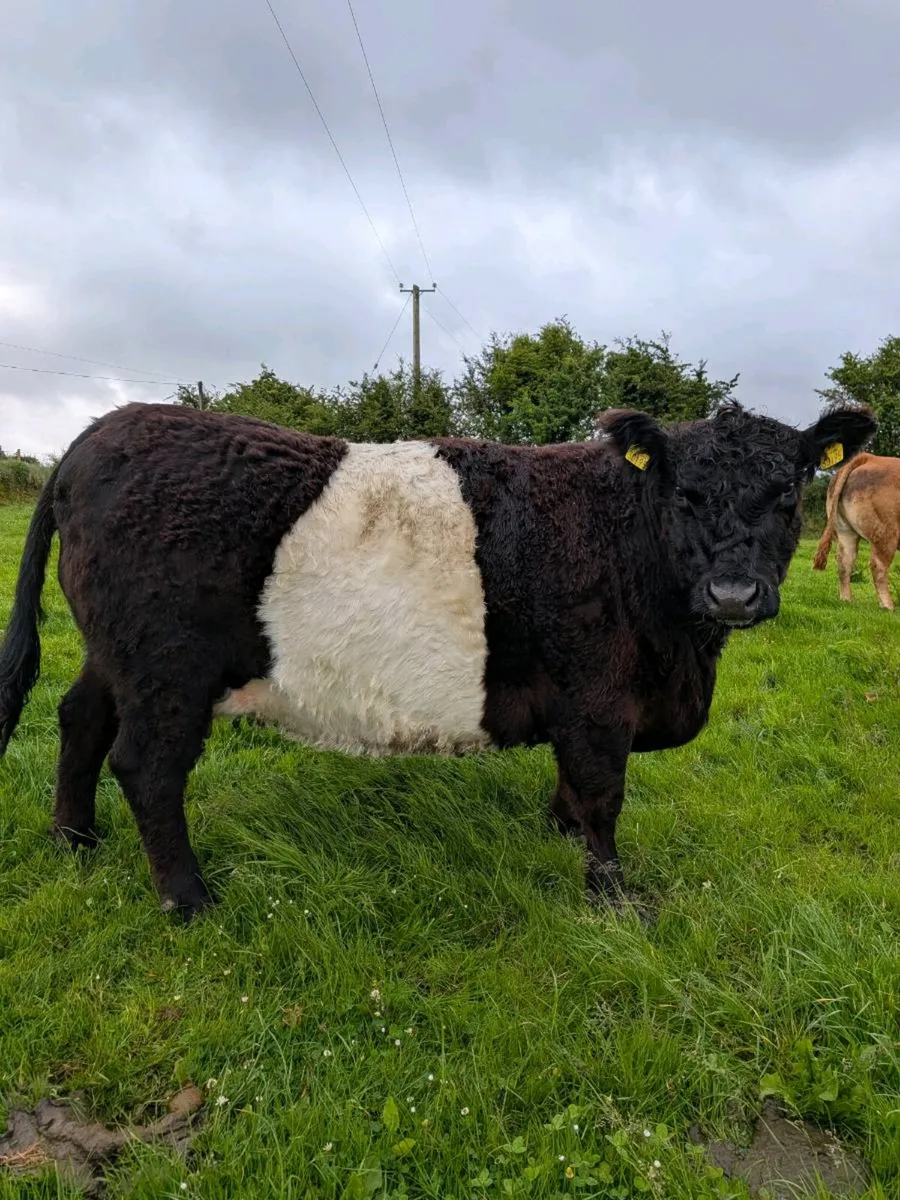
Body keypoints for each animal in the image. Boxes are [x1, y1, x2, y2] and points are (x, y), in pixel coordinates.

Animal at [0, 400, 876, 920]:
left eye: (788, 494)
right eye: (684, 495)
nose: (733, 592)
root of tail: (100, 433)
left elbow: (574, 789)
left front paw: (558, 831)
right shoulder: (598, 698)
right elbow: (603, 794)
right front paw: (611, 897)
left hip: (115, 652)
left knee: (79, 720)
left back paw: (74, 840)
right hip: (166, 668)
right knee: (146, 765)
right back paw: (188, 899)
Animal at [812, 451, 900, 610]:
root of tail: (869, 458)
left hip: (844, 530)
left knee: (844, 562)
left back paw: (847, 599)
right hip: (887, 531)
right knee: (878, 566)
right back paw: (888, 606)